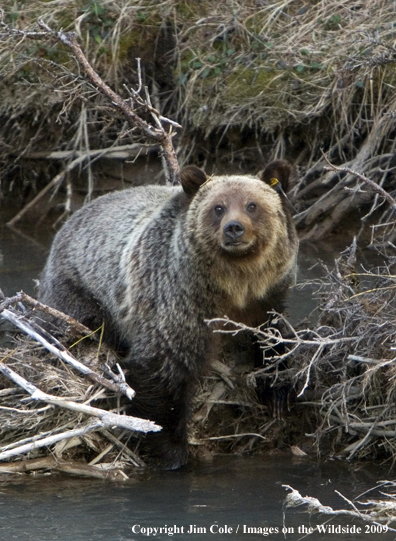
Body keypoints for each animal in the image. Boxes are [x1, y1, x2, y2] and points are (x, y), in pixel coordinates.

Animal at [38, 159, 296, 468]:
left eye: (252, 205)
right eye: (218, 207)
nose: (234, 228)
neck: (236, 285)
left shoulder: (269, 296)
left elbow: (274, 338)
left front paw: (278, 394)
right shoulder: (178, 298)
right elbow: (163, 368)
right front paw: (172, 450)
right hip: (80, 292)